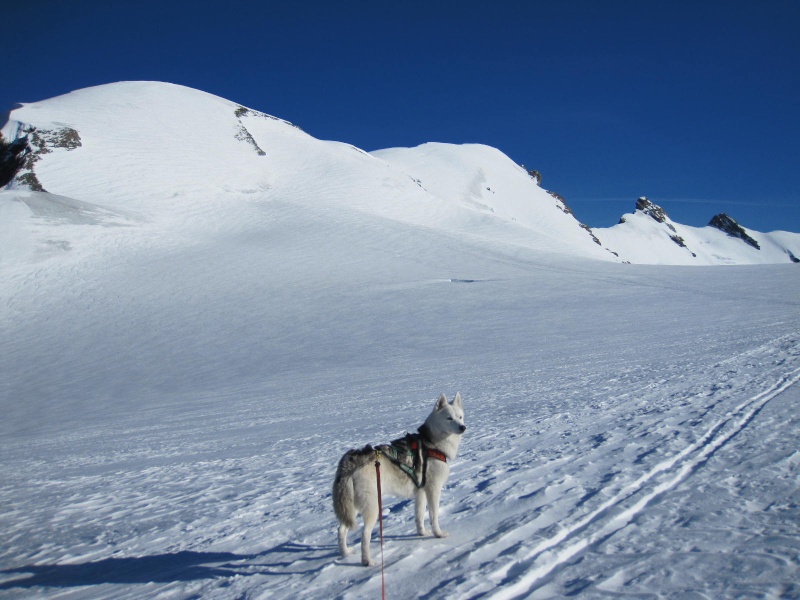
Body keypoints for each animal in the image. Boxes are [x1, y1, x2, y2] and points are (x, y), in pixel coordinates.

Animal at [332, 392, 468, 564]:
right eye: (449, 418)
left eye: (460, 417)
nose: (463, 427)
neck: (431, 444)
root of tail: (350, 461)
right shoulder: (433, 490)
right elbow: (434, 515)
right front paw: (438, 534)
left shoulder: (420, 493)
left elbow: (419, 516)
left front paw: (422, 533)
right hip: (372, 507)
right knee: (364, 535)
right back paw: (367, 561)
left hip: (352, 506)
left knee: (341, 529)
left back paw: (345, 552)